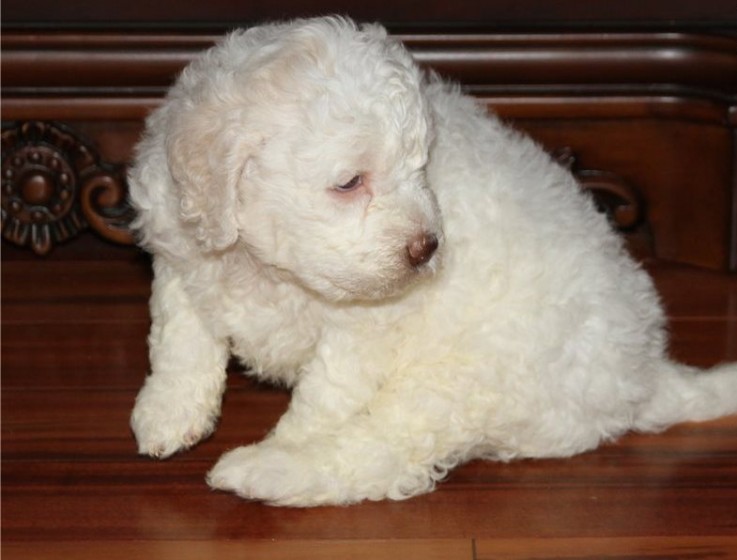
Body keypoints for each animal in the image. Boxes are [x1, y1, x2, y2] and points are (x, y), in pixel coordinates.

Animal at [128, 16, 736, 508]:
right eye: (349, 182)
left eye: (421, 167)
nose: (427, 248)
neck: (261, 263)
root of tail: (644, 376)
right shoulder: (177, 250)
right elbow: (179, 339)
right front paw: (167, 414)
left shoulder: (362, 334)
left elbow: (324, 400)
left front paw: (291, 441)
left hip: (461, 385)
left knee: (379, 455)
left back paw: (266, 471)